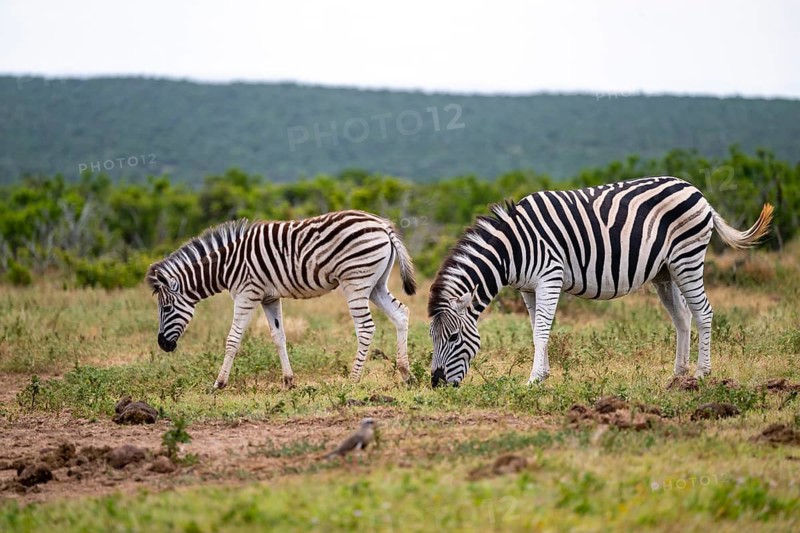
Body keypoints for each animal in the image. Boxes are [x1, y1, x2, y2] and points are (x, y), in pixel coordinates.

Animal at [146, 210, 417, 389]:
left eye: (166, 308)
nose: (163, 345)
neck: (225, 266)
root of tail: (382, 225)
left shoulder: (247, 294)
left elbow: (232, 339)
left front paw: (219, 383)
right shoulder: (269, 298)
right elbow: (279, 337)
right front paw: (288, 381)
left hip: (355, 282)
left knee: (366, 328)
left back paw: (352, 379)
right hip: (375, 285)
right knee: (401, 313)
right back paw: (406, 373)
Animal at [429, 176, 773, 387]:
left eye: (454, 338)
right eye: (433, 338)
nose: (436, 383)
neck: (512, 249)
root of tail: (696, 191)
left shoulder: (549, 277)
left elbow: (541, 331)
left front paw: (533, 379)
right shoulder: (527, 287)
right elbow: (535, 330)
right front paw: (544, 375)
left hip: (687, 258)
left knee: (704, 313)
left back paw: (702, 374)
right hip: (665, 271)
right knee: (683, 318)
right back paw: (678, 376)